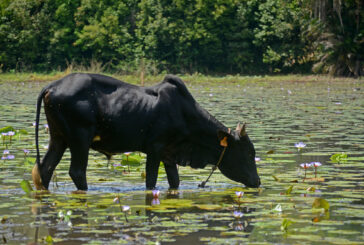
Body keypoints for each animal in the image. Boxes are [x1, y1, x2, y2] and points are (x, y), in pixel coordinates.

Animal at [31, 73, 258, 190]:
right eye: (247, 153)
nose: (257, 182)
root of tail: (52, 85)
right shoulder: (155, 148)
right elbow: (151, 180)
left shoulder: (169, 153)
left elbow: (174, 181)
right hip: (80, 139)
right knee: (77, 171)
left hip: (59, 137)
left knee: (45, 168)